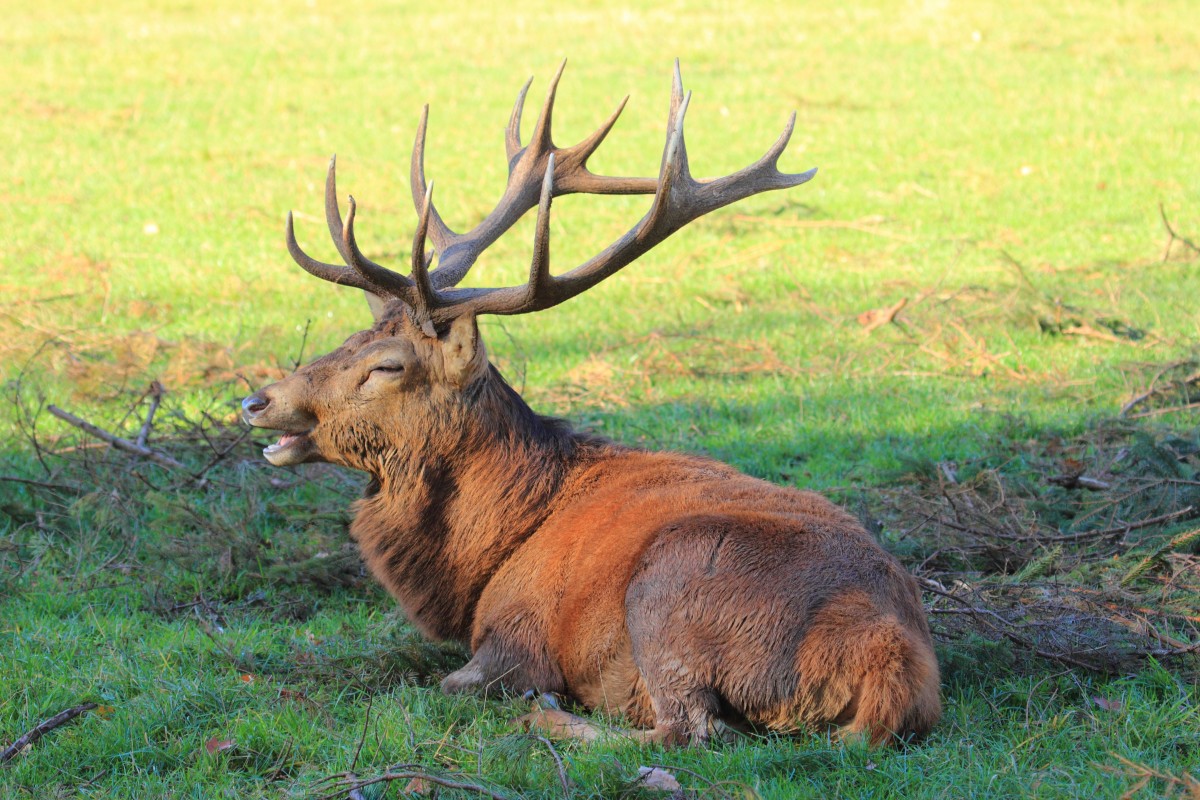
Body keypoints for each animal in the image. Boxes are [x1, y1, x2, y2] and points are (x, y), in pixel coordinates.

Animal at [241, 64, 936, 753]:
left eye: (387, 365)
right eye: (349, 337)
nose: (255, 401)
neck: (487, 554)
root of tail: (891, 662)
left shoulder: (517, 635)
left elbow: (450, 683)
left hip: (673, 587)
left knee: (689, 729)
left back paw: (547, 717)